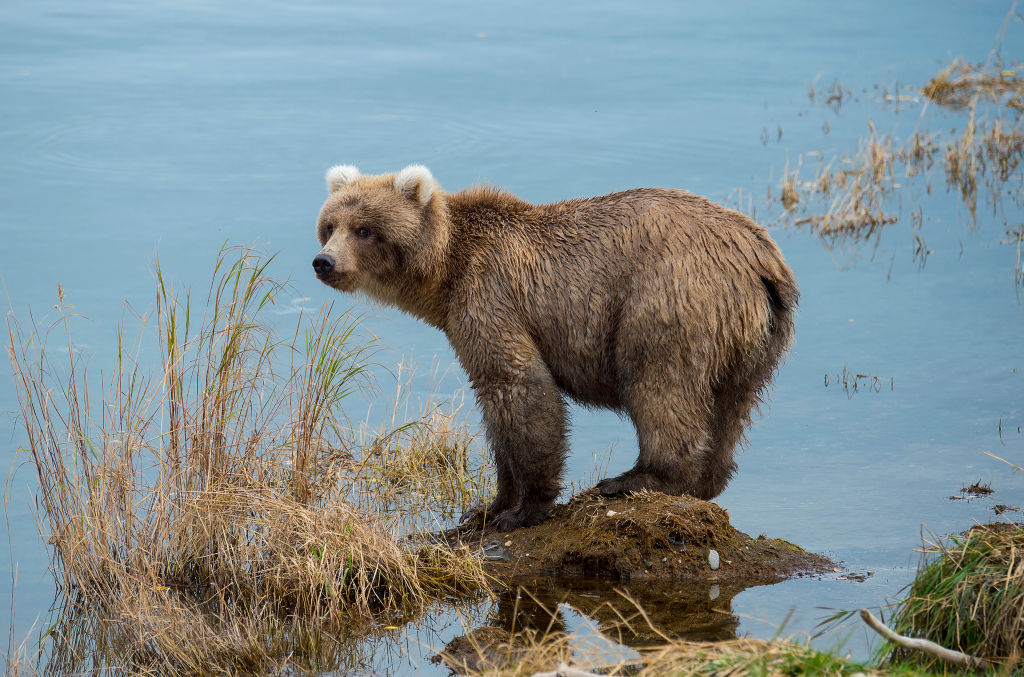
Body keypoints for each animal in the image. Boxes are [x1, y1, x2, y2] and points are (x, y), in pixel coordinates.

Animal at [313, 164, 798, 532]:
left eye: (364, 229)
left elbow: (519, 386)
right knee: (733, 406)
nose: (324, 262)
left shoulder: (491, 297)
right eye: (329, 225)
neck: (446, 274)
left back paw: (634, 479)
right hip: (755, 338)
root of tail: (762, 260)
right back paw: (705, 481)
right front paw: (489, 505)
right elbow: (497, 410)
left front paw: (524, 508)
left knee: (661, 385)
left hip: (666, 301)